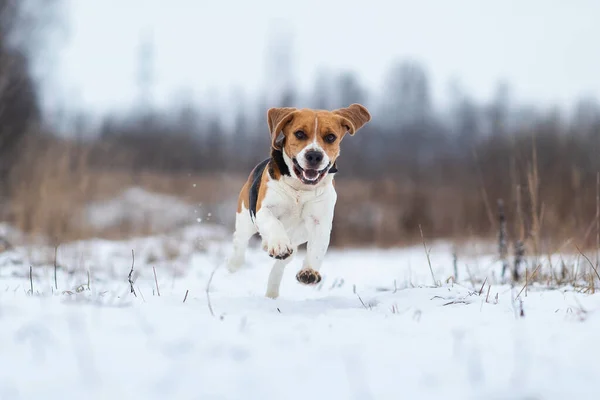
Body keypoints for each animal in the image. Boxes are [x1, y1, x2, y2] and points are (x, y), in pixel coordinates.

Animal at [226, 103, 370, 296]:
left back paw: (272, 291)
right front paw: (279, 245)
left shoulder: (320, 221)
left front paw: (309, 272)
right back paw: (234, 264)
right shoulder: (264, 209)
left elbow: (317, 249)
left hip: (293, 246)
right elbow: (274, 223)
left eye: (330, 137)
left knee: (279, 267)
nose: (314, 155)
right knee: (239, 243)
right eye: (300, 134)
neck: (301, 189)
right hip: (245, 219)